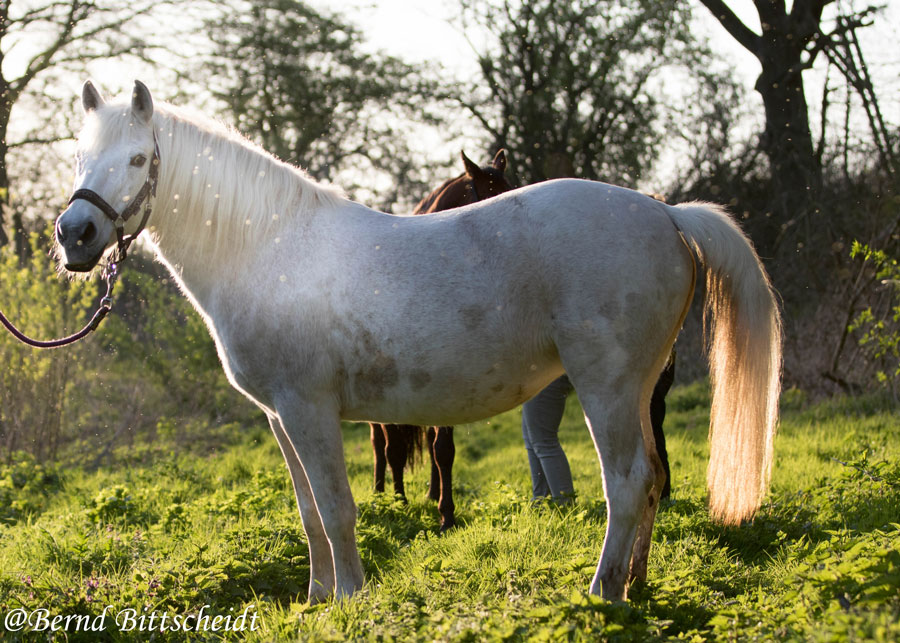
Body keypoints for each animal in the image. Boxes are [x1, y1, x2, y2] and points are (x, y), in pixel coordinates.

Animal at [368, 148, 510, 532]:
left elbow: (443, 449)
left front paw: (445, 512)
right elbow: (395, 449)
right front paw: (400, 502)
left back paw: (431, 493)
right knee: (380, 444)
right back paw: (381, 493)